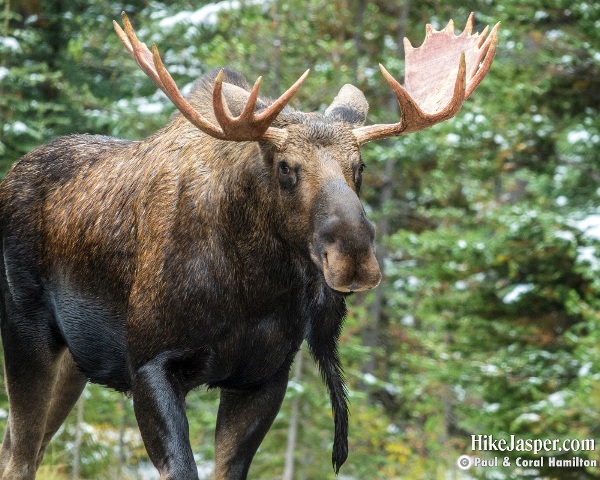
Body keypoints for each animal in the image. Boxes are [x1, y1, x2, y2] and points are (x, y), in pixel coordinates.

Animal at [0, 11, 496, 480]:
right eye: (285, 167)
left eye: (360, 166)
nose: (354, 258)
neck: (252, 288)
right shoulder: (149, 364)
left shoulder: (264, 377)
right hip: (26, 331)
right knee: (20, 456)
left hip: (73, 360)